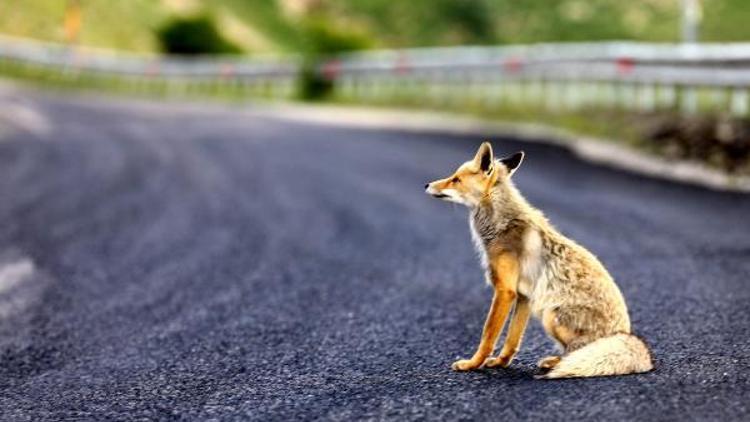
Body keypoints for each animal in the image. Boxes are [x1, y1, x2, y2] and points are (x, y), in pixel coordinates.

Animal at [426, 143, 656, 380]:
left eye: (455, 179)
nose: (427, 185)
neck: (500, 226)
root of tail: (624, 333)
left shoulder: (505, 291)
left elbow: (487, 336)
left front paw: (472, 364)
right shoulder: (524, 296)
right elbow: (512, 340)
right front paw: (500, 363)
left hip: (550, 315)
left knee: (577, 352)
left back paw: (558, 364)